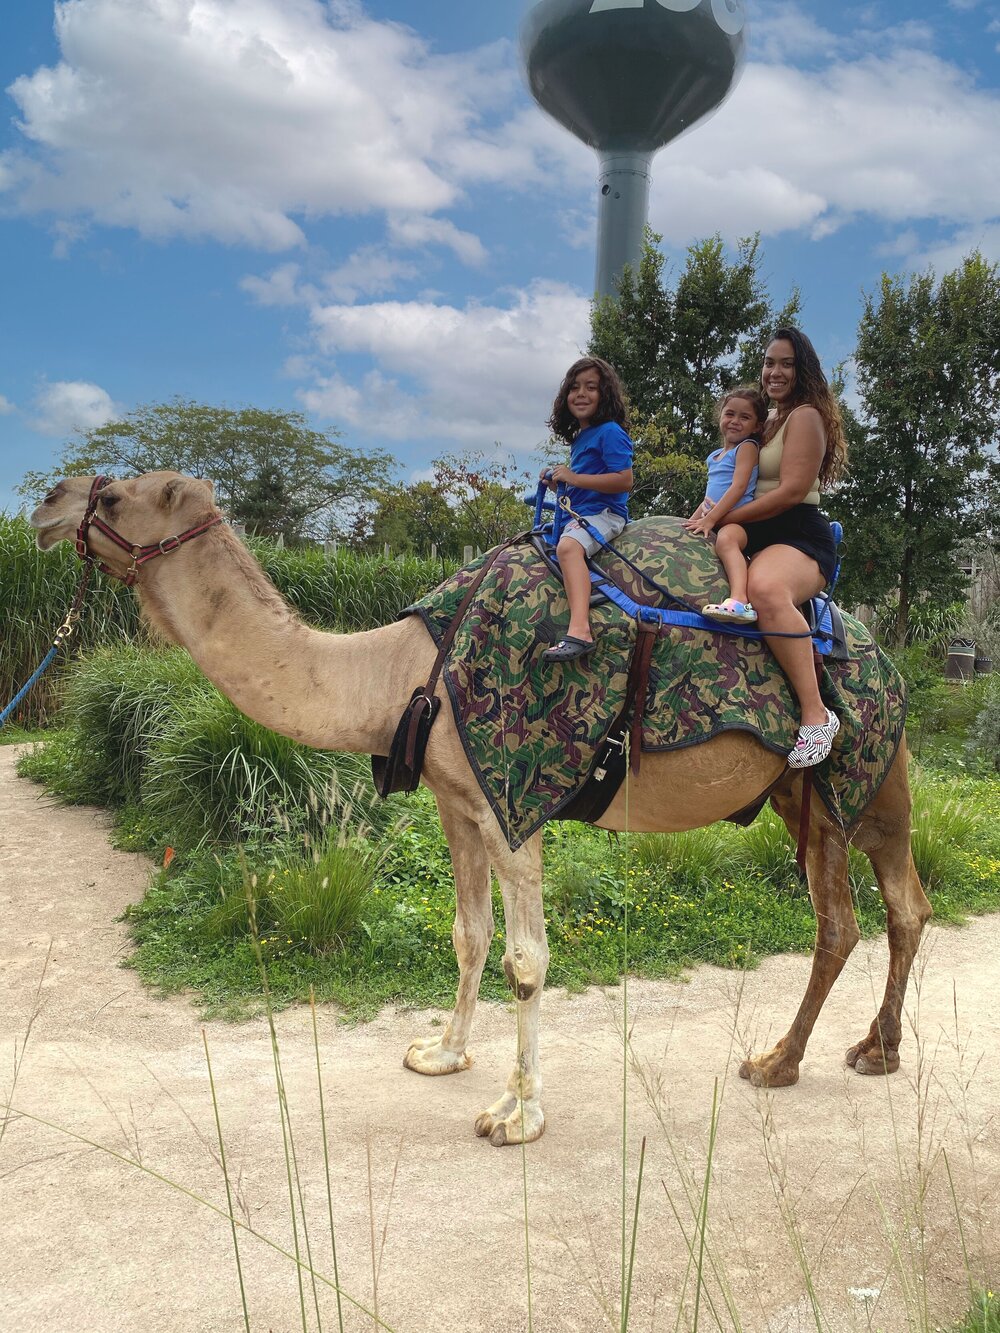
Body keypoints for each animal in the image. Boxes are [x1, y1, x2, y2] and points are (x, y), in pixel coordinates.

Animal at [31, 471, 938, 1146]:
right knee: (884, 909)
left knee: (865, 911)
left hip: (862, 773)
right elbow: (469, 935)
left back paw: (784, 1060)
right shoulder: (457, 802)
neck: (402, 669)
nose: (44, 504)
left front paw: (515, 1113)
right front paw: (441, 1051)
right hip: (803, 791)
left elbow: (525, 959)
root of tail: (890, 659)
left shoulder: (514, 802)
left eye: (117, 496)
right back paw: (856, 1052)